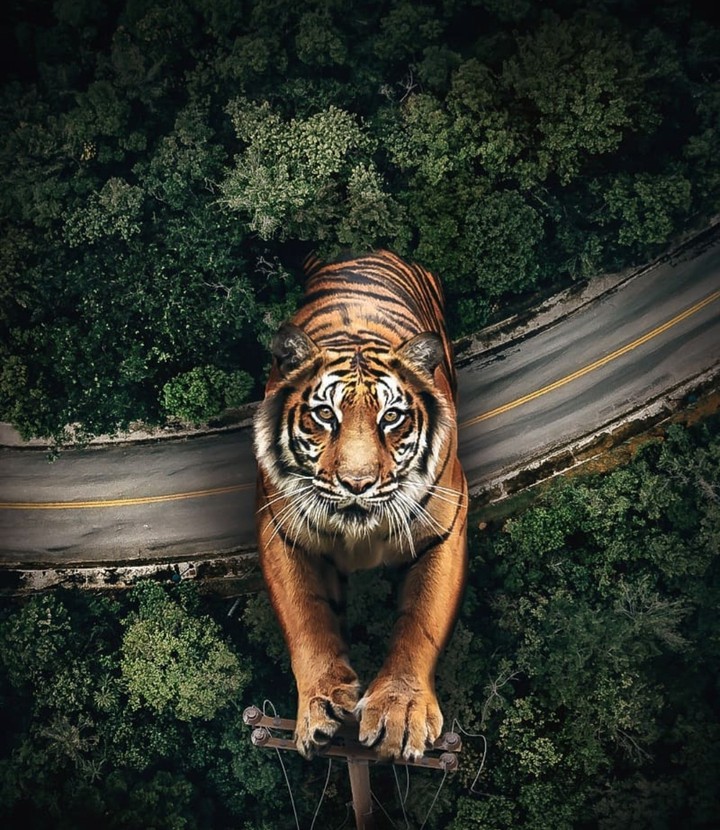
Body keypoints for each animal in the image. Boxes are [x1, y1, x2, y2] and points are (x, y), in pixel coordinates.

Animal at [253, 250, 468, 761]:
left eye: (391, 417)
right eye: (324, 415)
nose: (357, 483)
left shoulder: (445, 524)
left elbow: (421, 619)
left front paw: (400, 714)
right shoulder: (280, 528)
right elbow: (307, 620)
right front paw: (319, 709)